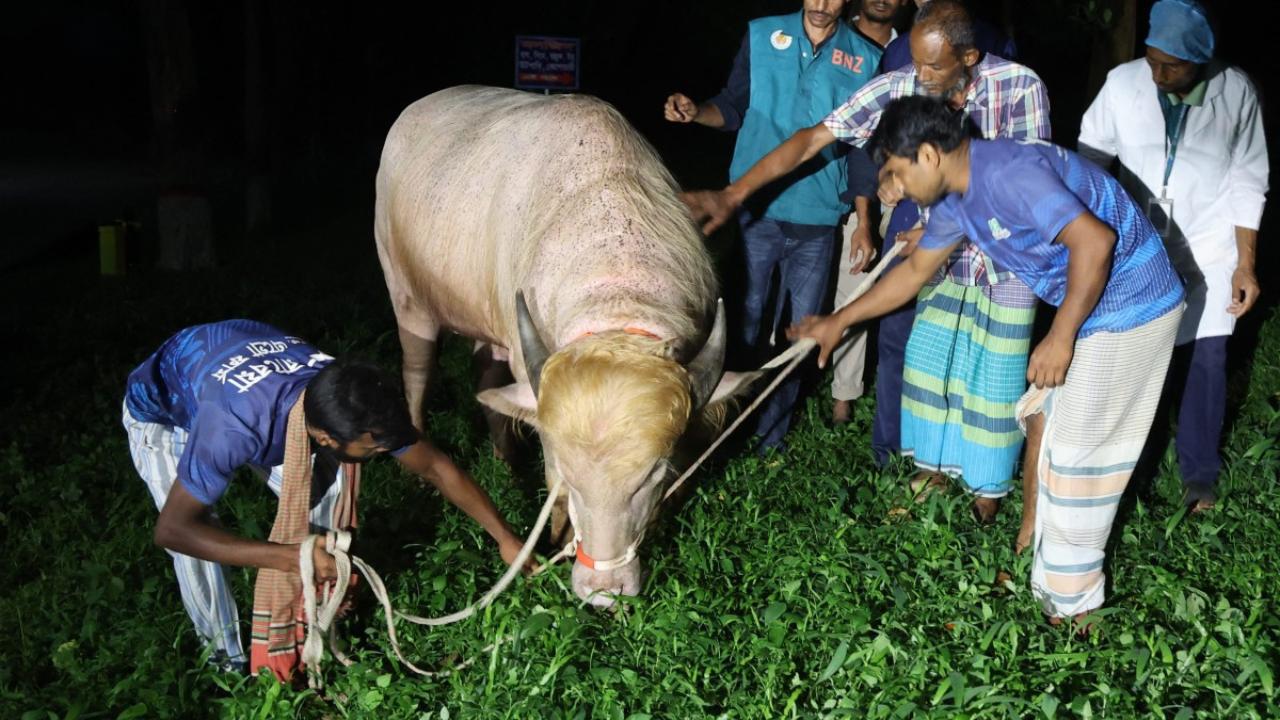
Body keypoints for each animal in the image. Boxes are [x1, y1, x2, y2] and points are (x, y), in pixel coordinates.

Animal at [374, 86, 756, 606]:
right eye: (565, 471)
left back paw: (505, 461)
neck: (617, 288)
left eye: (652, 476)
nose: (603, 591)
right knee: (418, 373)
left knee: (486, 375)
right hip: (408, 299)